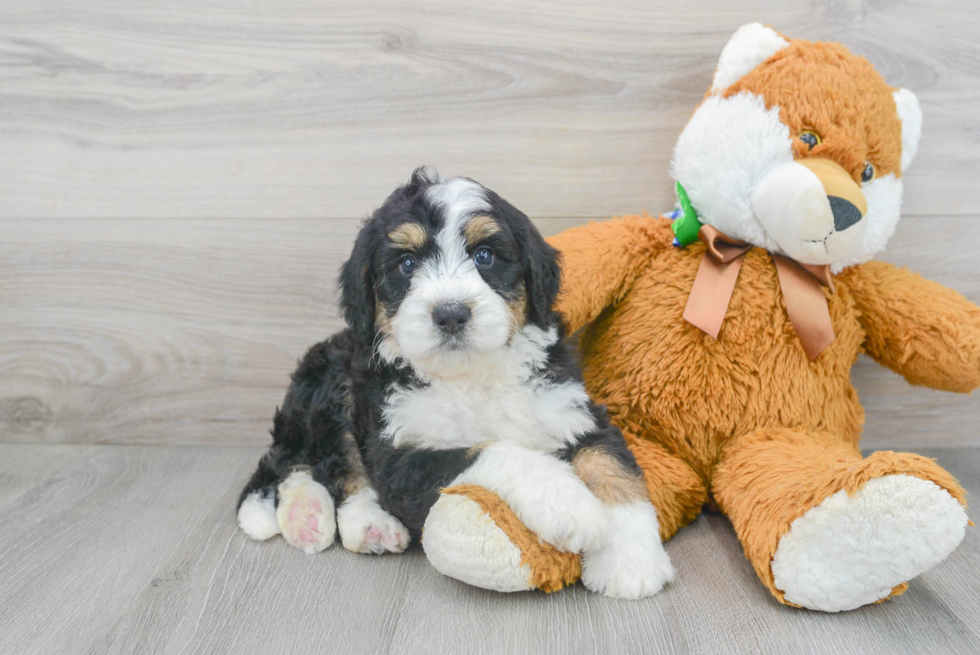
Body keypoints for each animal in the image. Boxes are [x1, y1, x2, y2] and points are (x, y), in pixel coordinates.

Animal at [237, 168, 672, 600]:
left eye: (484, 256)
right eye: (407, 263)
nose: (450, 313)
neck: (470, 374)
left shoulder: (573, 409)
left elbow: (611, 465)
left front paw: (629, 561)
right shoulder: (400, 458)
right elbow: (491, 450)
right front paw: (566, 502)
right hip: (332, 387)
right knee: (323, 464)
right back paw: (348, 521)